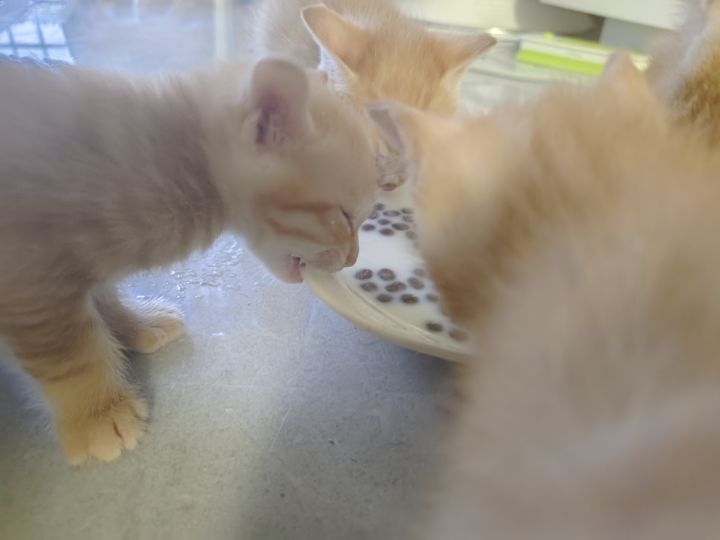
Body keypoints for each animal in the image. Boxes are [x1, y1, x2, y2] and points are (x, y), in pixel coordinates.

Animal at [0, 56, 377, 464]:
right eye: (344, 217)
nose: (353, 257)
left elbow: (103, 291)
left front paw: (134, 322)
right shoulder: (30, 273)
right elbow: (70, 351)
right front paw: (98, 414)